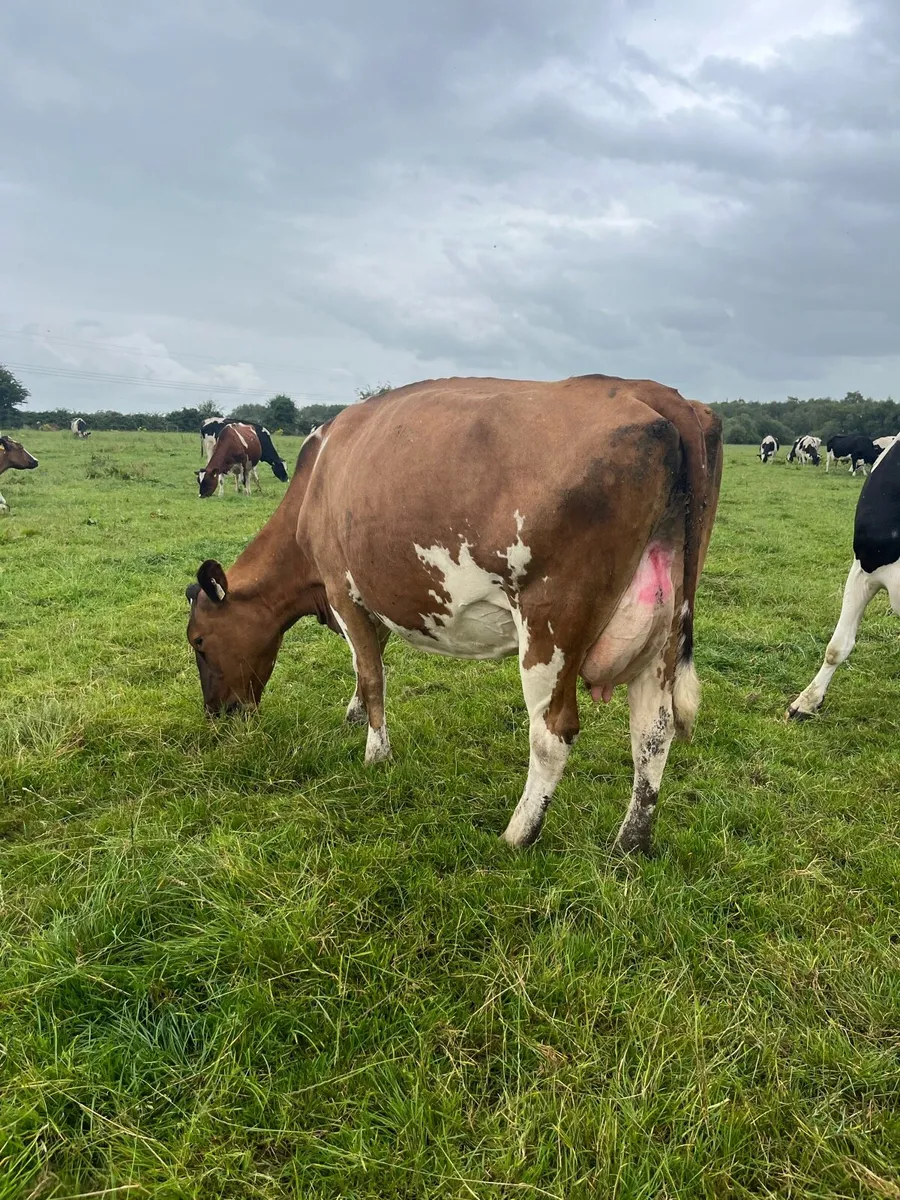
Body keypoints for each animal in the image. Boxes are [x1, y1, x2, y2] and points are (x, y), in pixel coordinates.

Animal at [184, 374, 723, 855]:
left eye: (198, 641)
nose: (218, 714)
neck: (315, 484)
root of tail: (651, 390)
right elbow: (367, 662)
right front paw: (355, 715)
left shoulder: (342, 589)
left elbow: (372, 673)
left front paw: (376, 754)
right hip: (665, 626)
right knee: (653, 731)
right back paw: (631, 842)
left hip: (550, 623)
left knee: (554, 732)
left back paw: (518, 834)